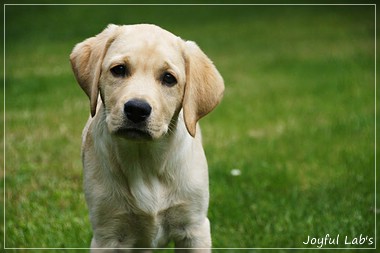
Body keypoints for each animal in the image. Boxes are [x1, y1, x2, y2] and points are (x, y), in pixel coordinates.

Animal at [70, 23, 224, 251]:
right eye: (119, 69)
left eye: (169, 78)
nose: (137, 109)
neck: (144, 159)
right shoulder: (107, 234)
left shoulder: (194, 229)